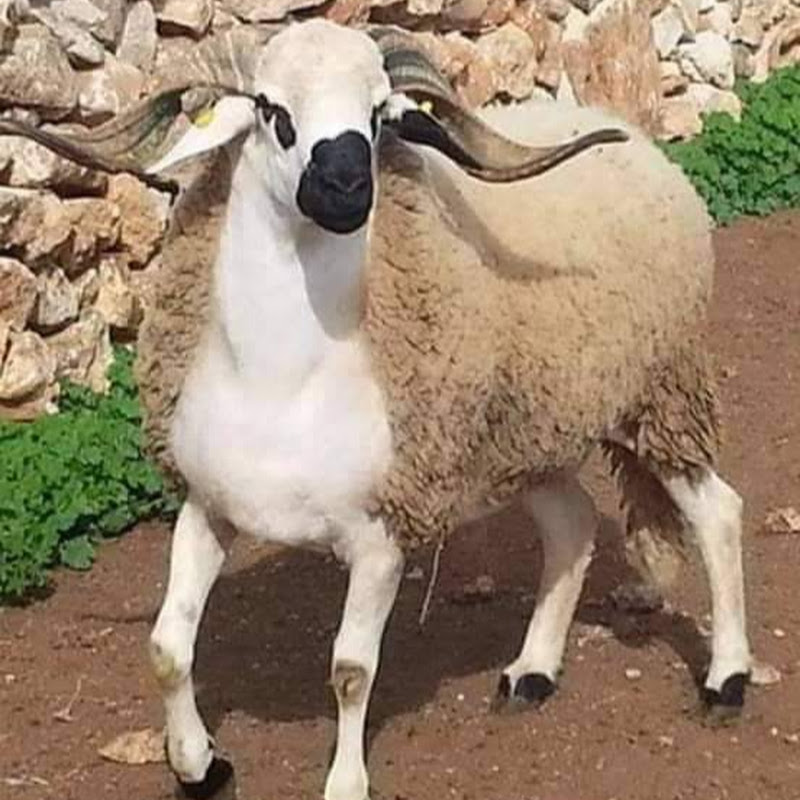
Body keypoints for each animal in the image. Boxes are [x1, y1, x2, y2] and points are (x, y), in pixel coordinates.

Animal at [1, 20, 753, 800]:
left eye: (379, 113)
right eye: (270, 109)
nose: (347, 186)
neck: (282, 383)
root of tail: (627, 132)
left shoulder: (383, 530)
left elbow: (351, 672)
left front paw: (344, 782)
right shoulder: (207, 507)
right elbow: (167, 647)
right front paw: (197, 763)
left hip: (661, 393)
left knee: (717, 513)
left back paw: (726, 679)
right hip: (524, 432)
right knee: (573, 525)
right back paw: (532, 671)